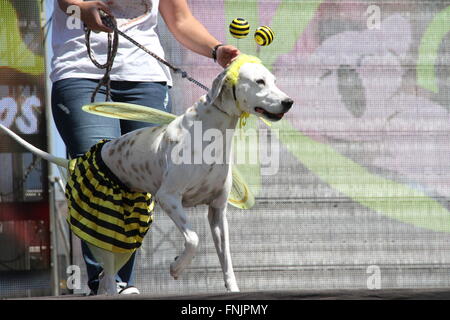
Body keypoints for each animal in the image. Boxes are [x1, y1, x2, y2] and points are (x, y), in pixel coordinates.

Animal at [0, 54, 294, 296]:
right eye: (259, 82)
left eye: (274, 81)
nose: (288, 101)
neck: (213, 131)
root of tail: (78, 160)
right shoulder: (169, 198)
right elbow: (193, 239)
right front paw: (177, 267)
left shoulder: (217, 211)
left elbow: (226, 258)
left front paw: (233, 290)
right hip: (104, 231)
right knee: (107, 275)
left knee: (108, 276)